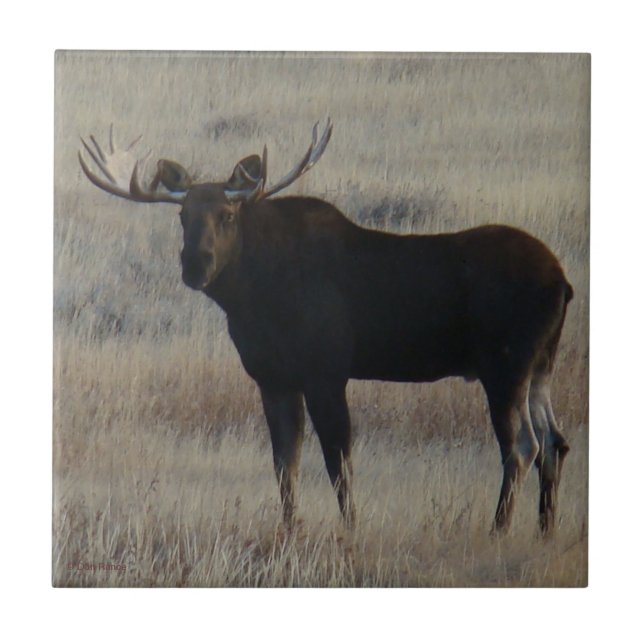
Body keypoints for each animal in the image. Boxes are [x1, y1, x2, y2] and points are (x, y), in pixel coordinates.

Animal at [78, 120, 573, 535]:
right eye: (182, 217)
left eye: (228, 215)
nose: (195, 264)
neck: (253, 299)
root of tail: (563, 283)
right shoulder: (273, 378)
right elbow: (285, 463)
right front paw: (289, 530)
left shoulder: (326, 371)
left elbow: (338, 462)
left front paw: (351, 530)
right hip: (541, 366)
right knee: (555, 440)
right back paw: (544, 532)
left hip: (505, 366)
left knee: (521, 446)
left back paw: (498, 531)